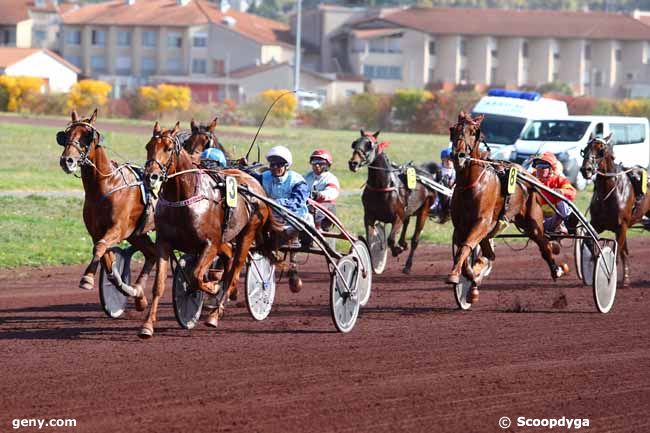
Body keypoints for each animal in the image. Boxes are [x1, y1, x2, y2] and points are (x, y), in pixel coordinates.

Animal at [57, 109, 156, 308]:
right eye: (66, 135)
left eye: (87, 136)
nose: (67, 161)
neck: (107, 184)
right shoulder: (97, 231)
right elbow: (105, 257)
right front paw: (122, 286)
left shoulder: (118, 228)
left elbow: (100, 247)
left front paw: (87, 278)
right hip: (137, 235)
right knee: (153, 254)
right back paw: (139, 296)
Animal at [140, 121, 280, 338]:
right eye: (148, 146)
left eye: (169, 148)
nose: (151, 176)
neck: (183, 197)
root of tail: (255, 183)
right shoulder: (164, 243)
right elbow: (159, 285)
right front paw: (147, 325)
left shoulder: (209, 244)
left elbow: (196, 275)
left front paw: (212, 289)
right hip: (224, 238)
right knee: (229, 258)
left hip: (247, 232)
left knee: (235, 267)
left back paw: (215, 313)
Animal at [346, 127, 432, 274]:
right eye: (355, 143)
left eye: (369, 145)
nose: (353, 163)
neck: (381, 186)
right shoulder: (369, 216)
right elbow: (370, 239)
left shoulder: (397, 217)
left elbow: (391, 239)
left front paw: (397, 250)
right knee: (406, 223)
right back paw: (403, 243)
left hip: (424, 210)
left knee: (415, 239)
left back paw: (408, 265)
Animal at [446, 111, 568, 300]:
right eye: (453, 129)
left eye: (473, 132)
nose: (459, 156)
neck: (472, 184)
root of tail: (528, 176)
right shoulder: (461, 226)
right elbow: (463, 249)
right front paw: (472, 278)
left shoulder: (481, 222)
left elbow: (466, 246)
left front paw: (456, 275)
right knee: (490, 254)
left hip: (532, 221)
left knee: (544, 245)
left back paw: (557, 269)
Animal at [576, 133, 648, 286]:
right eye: (585, 150)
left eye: (601, 150)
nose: (586, 169)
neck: (609, 192)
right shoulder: (598, 224)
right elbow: (590, 242)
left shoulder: (622, 226)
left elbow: (617, 253)